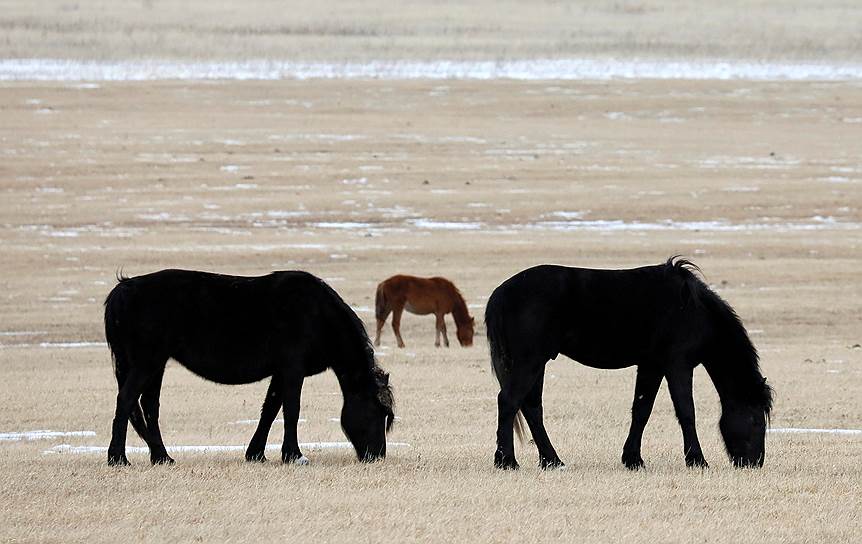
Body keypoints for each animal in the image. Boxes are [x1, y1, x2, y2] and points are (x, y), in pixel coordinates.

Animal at [103, 270, 396, 466]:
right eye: (377, 411)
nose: (377, 456)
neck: (317, 316)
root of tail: (124, 288)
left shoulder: (281, 372)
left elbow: (270, 409)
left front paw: (256, 454)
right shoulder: (292, 369)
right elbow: (291, 410)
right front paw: (294, 456)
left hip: (156, 365)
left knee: (149, 406)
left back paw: (162, 457)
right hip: (147, 363)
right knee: (126, 400)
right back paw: (119, 459)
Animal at [486, 258, 776, 470]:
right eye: (755, 420)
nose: (754, 463)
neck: (693, 311)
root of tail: (500, 294)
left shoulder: (652, 366)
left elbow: (641, 410)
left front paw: (633, 459)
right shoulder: (678, 366)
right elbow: (686, 412)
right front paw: (697, 460)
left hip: (537, 363)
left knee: (532, 408)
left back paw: (552, 461)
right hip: (530, 361)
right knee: (509, 402)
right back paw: (507, 461)